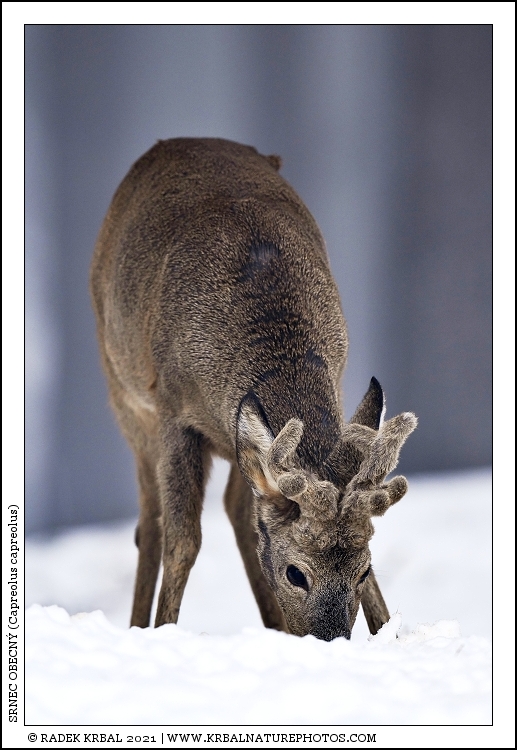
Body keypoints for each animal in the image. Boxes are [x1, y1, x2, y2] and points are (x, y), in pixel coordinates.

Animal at [90, 137, 417, 641]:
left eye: (363, 571)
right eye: (295, 573)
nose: (329, 643)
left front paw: (388, 633)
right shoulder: (173, 410)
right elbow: (183, 540)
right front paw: (165, 631)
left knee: (238, 510)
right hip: (124, 394)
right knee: (150, 523)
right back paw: (136, 627)